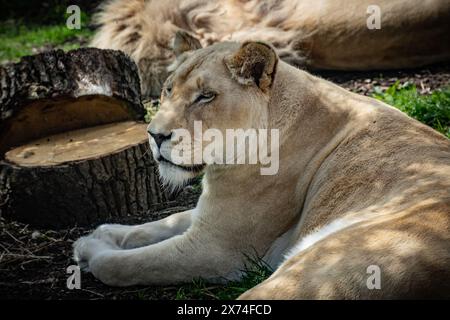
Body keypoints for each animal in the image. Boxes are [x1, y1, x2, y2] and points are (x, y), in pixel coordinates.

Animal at [74, 35, 450, 300]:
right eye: (167, 90)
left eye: (206, 96)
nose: (154, 135)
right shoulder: (209, 217)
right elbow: (160, 223)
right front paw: (101, 234)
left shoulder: (216, 250)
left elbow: (124, 264)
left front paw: (92, 252)